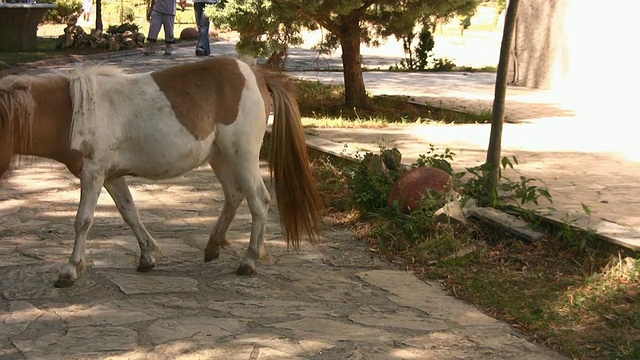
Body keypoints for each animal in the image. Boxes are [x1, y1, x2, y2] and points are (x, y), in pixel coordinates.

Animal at [0, 56, 322, 286]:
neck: (74, 111)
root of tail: (258, 75)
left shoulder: (93, 174)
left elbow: (83, 220)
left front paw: (70, 270)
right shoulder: (112, 176)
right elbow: (130, 212)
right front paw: (148, 256)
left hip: (241, 155)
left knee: (259, 200)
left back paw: (249, 261)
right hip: (220, 156)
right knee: (234, 195)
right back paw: (213, 246)